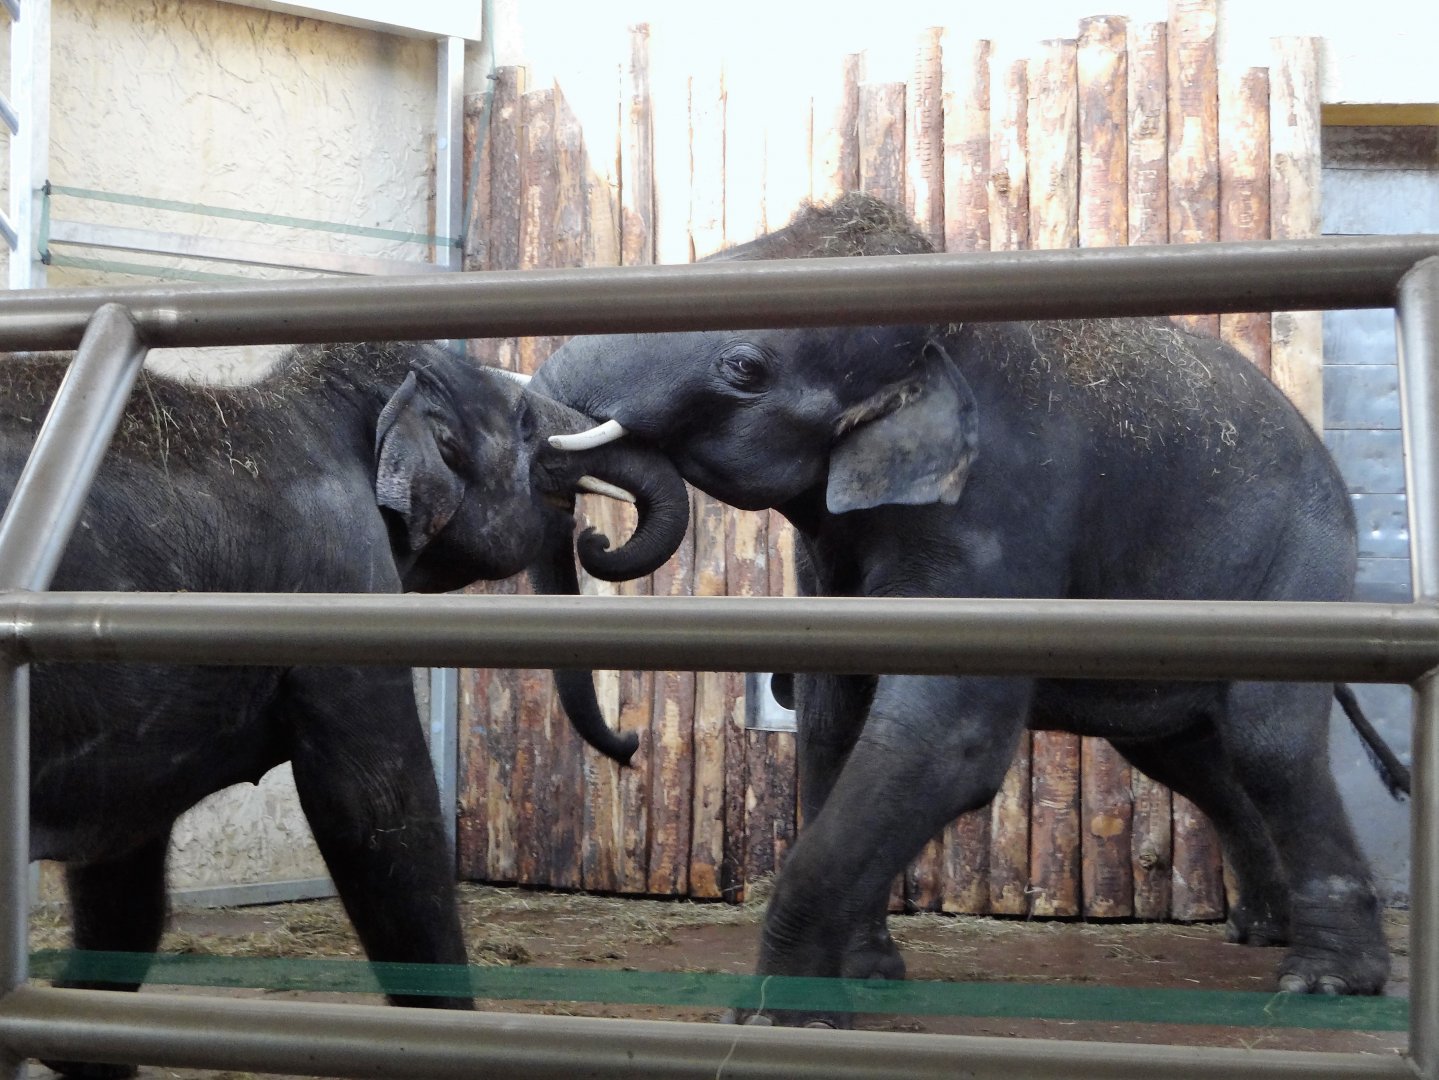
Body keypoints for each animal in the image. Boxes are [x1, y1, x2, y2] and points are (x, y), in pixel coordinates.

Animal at [528, 194, 1412, 1023]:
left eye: (743, 366)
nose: (628, 744)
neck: (940, 327)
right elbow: (832, 719)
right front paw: (865, 975)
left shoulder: (999, 502)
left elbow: (947, 736)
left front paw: (779, 1014)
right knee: (1185, 755)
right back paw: (1262, 931)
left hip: (1303, 559)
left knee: (1268, 743)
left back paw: (1324, 982)